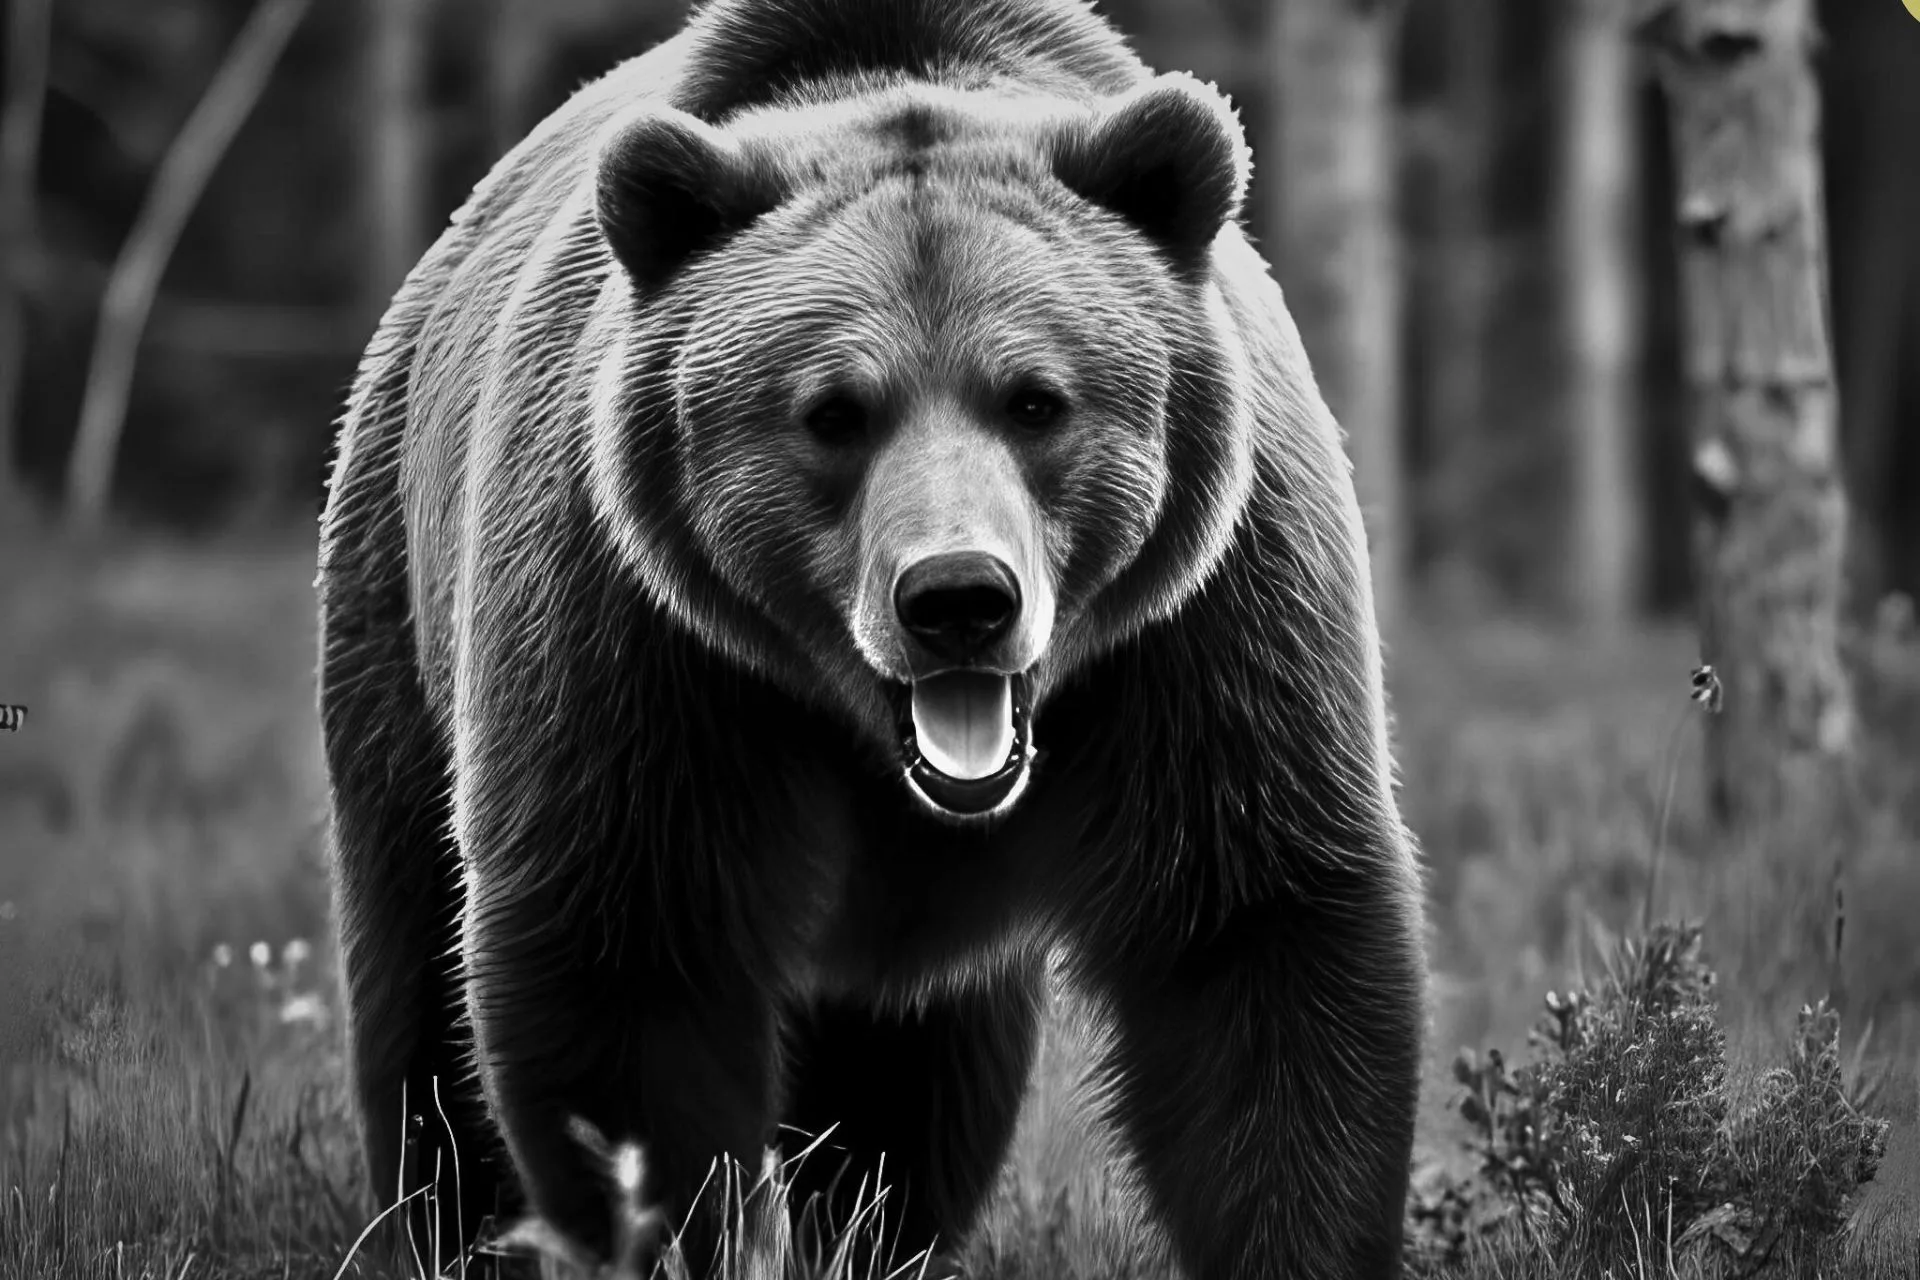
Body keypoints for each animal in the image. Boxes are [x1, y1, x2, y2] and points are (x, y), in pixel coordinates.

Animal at [315, 0, 1427, 1276]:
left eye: (1036, 398)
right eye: (832, 411)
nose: (957, 595)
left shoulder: (1206, 629)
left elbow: (1260, 942)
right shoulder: (641, 644)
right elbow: (628, 964)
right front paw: (687, 1228)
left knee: (918, 1084)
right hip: (397, 608)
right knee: (419, 983)